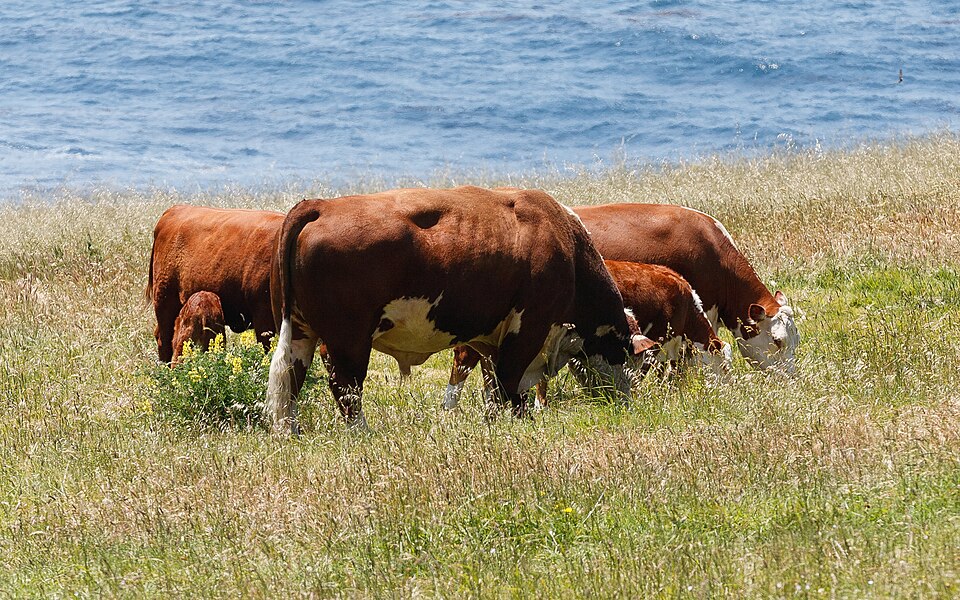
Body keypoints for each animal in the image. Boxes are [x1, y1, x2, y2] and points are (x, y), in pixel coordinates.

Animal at [266, 186, 648, 434]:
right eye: (629, 356)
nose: (626, 404)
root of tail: (321, 205)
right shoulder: (529, 327)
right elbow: (509, 385)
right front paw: (512, 425)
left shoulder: (492, 338)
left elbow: (496, 386)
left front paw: (503, 422)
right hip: (349, 339)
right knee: (345, 385)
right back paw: (362, 431)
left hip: (299, 330)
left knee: (290, 380)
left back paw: (290, 431)